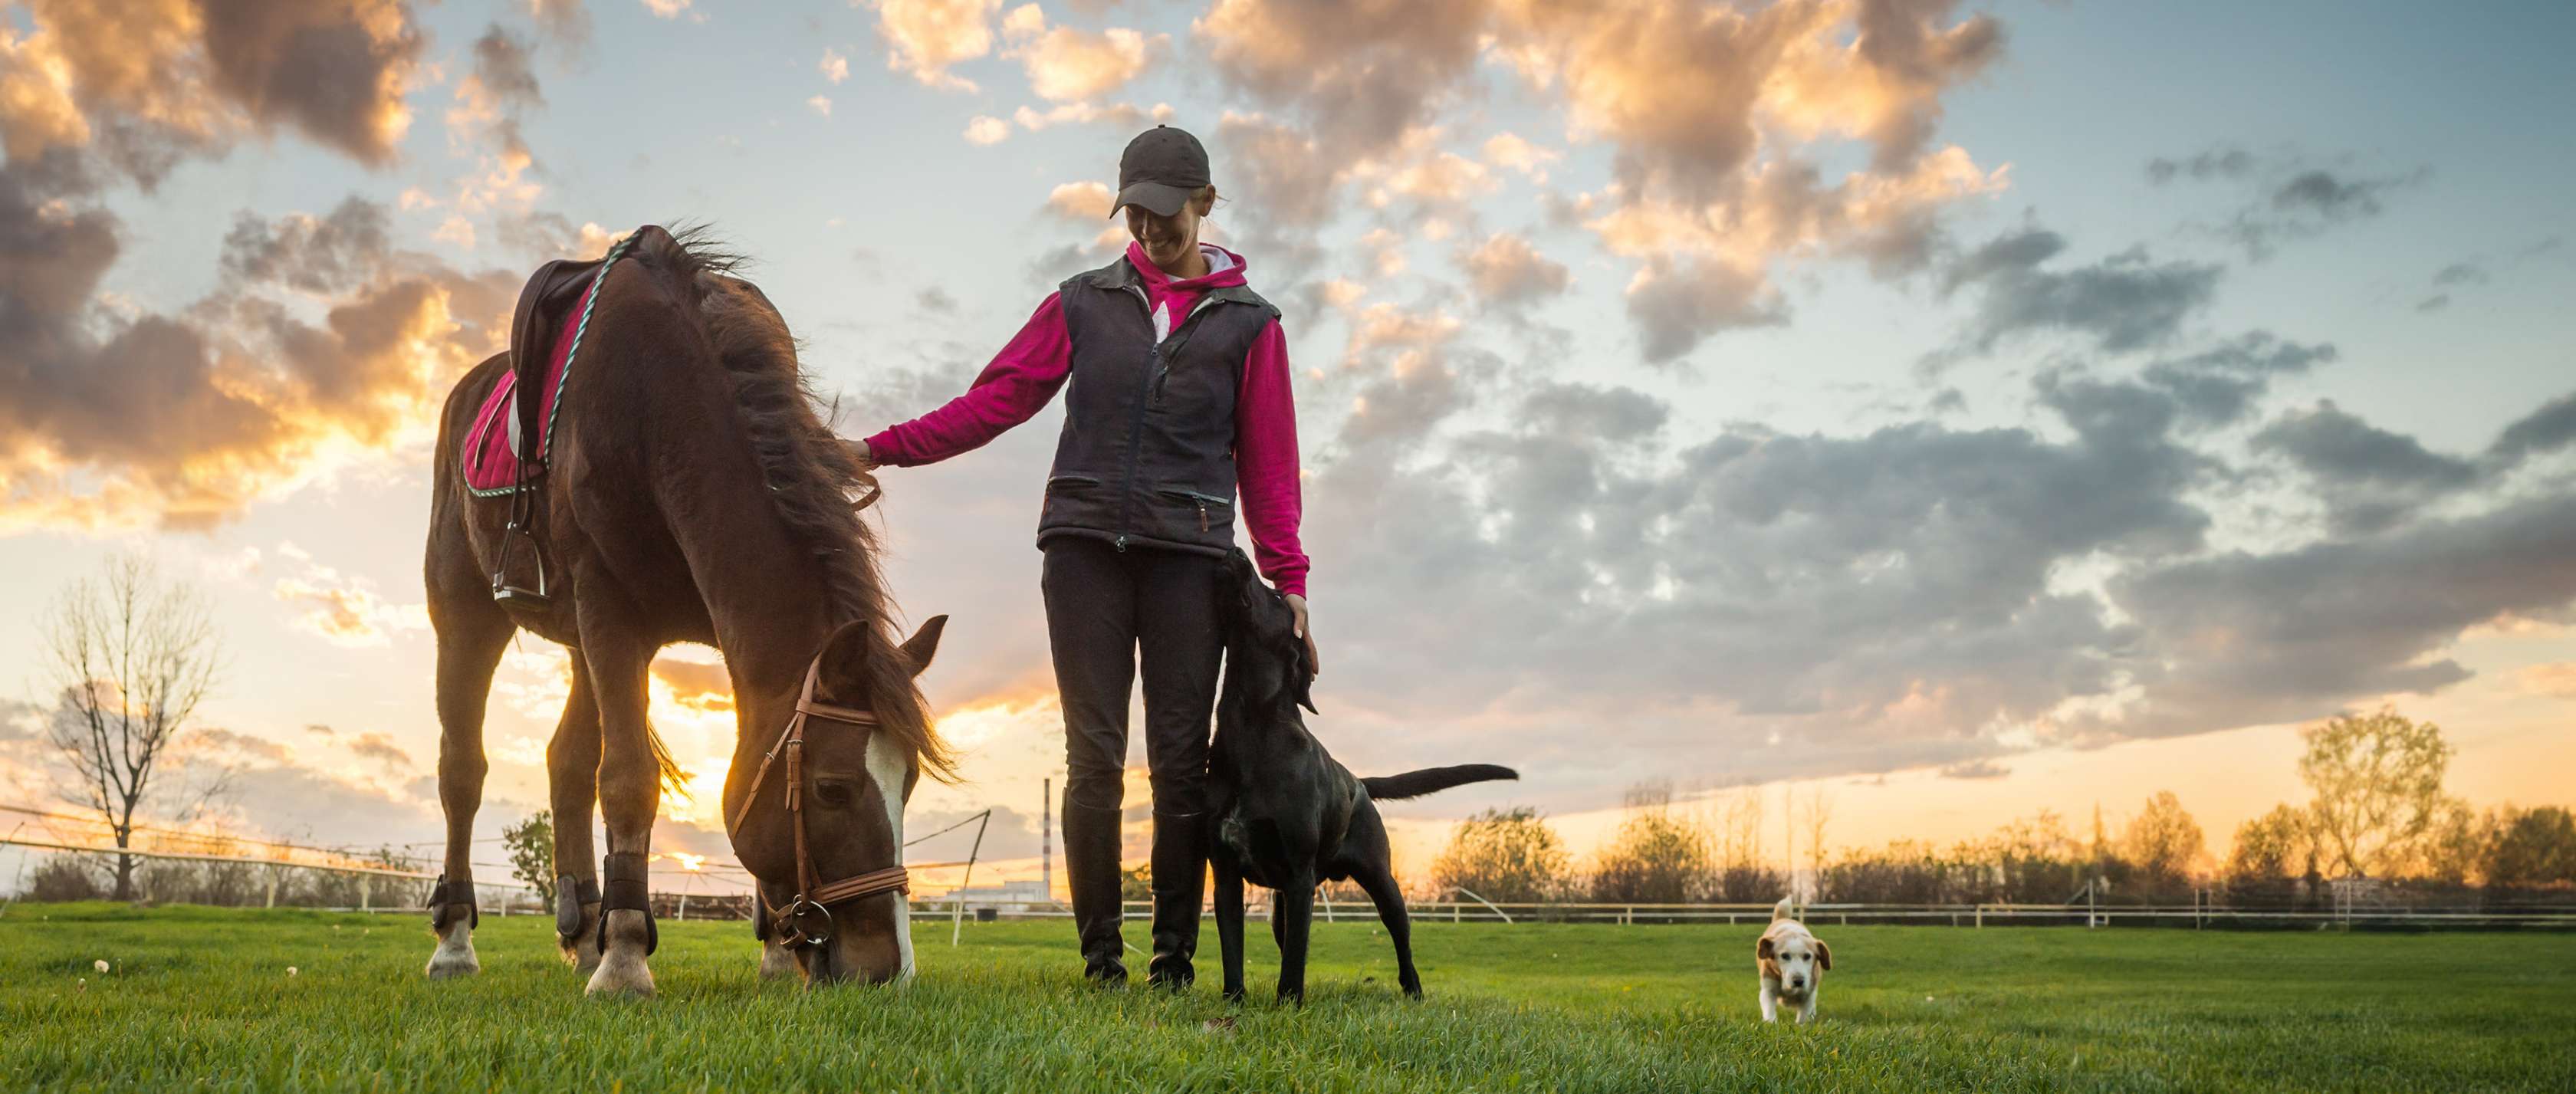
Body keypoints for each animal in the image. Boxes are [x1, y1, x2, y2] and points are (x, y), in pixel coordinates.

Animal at [421, 225, 956, 996]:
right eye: (831, 788)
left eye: (909, 782)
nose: (888, 970)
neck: (656, 402)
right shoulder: (609, 610)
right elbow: (628, 779)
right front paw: (624, 957)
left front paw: (769, 950)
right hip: (467, 614)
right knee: (462, 769)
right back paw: (458, 940)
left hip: (577, 641)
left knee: (564, 763)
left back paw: (581, 927)